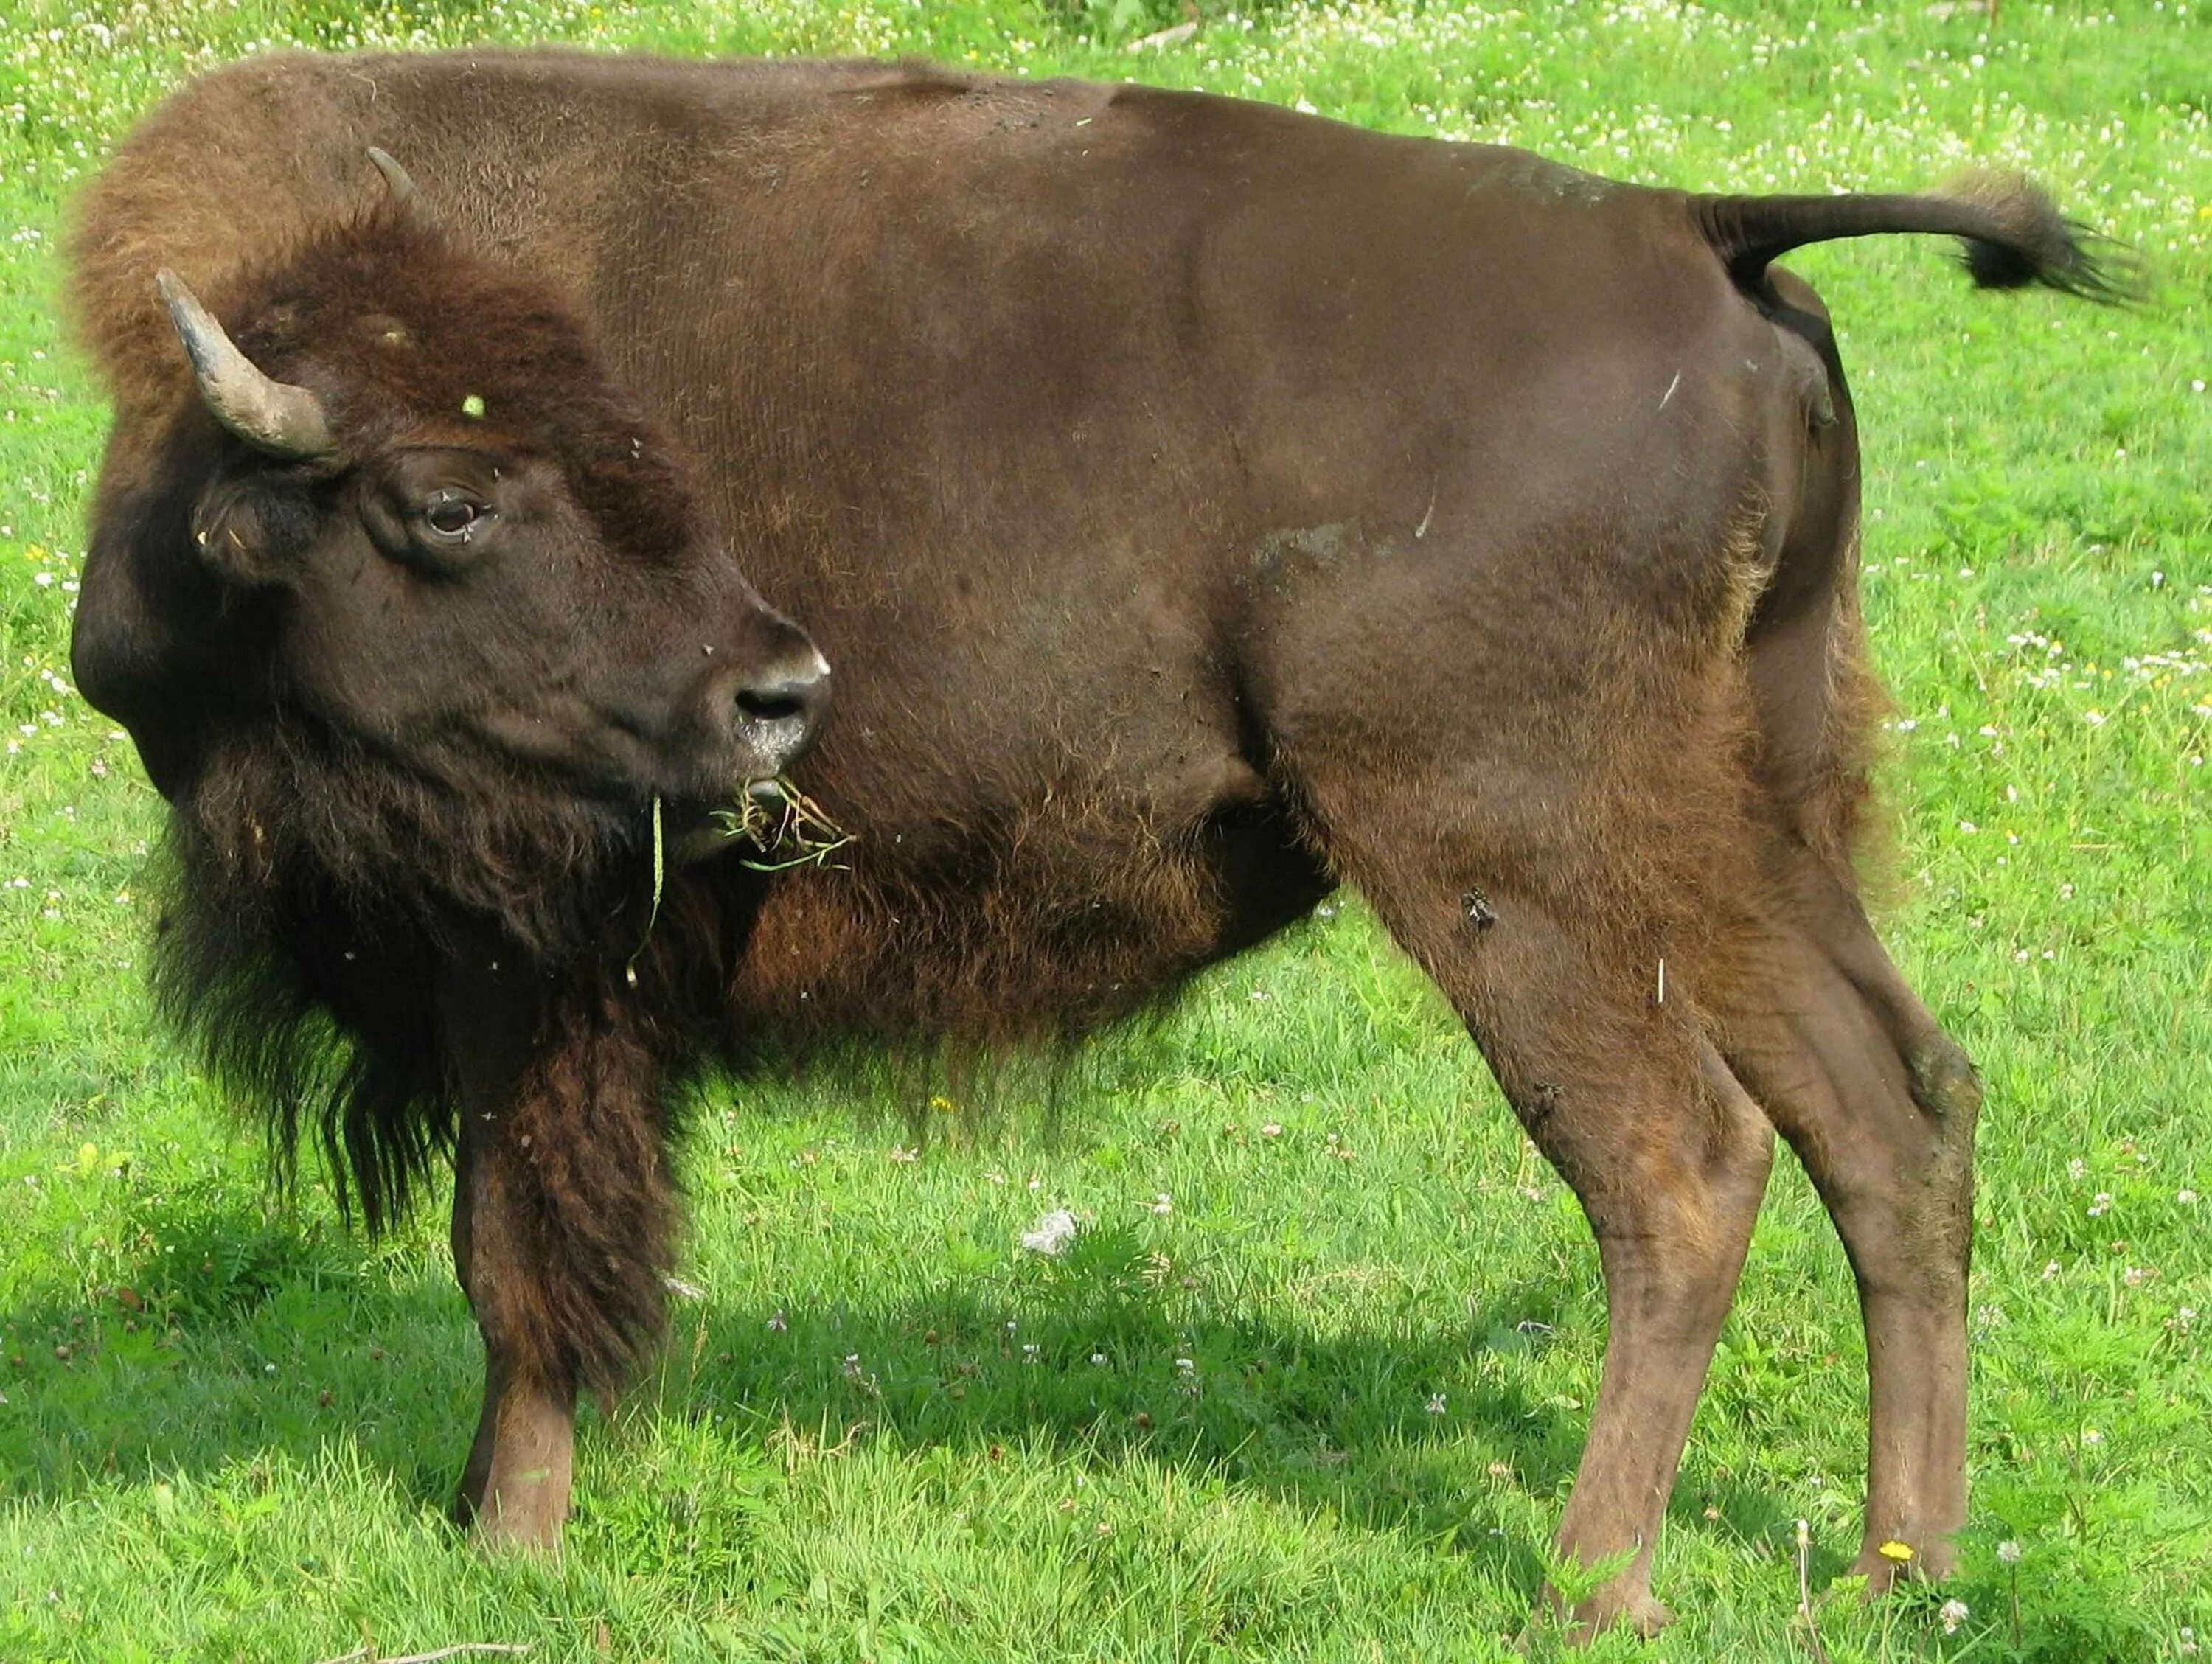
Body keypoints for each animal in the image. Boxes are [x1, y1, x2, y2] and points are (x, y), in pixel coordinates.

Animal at [64, 49, 2124, 1628]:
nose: (777, 690)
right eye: (452, 496)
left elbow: (516, 1256)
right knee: (1894, 1110)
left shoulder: (524, 971)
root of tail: (1692, 227)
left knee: (1681, 1164)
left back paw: (1589, 1585)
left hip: (1507, 855)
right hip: (1743, 819)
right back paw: (1908, 1571)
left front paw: (509, 1543)